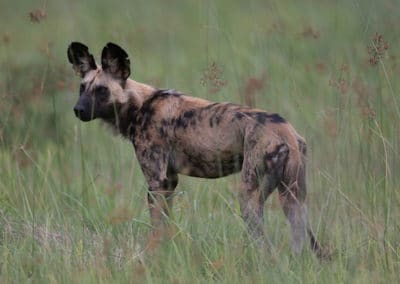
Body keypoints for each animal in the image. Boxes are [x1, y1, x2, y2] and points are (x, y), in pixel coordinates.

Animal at [67, 41, 326, 258]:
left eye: (101, 90)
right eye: (82, 88)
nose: (78, 110)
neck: (139, 106)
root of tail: (287, 130)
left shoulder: (156, 182)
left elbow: (155, 229)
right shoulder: (169, 182)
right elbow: (166, 226)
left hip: (250, 196)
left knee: (265, 245)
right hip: (293, 197)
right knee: (306, 241)